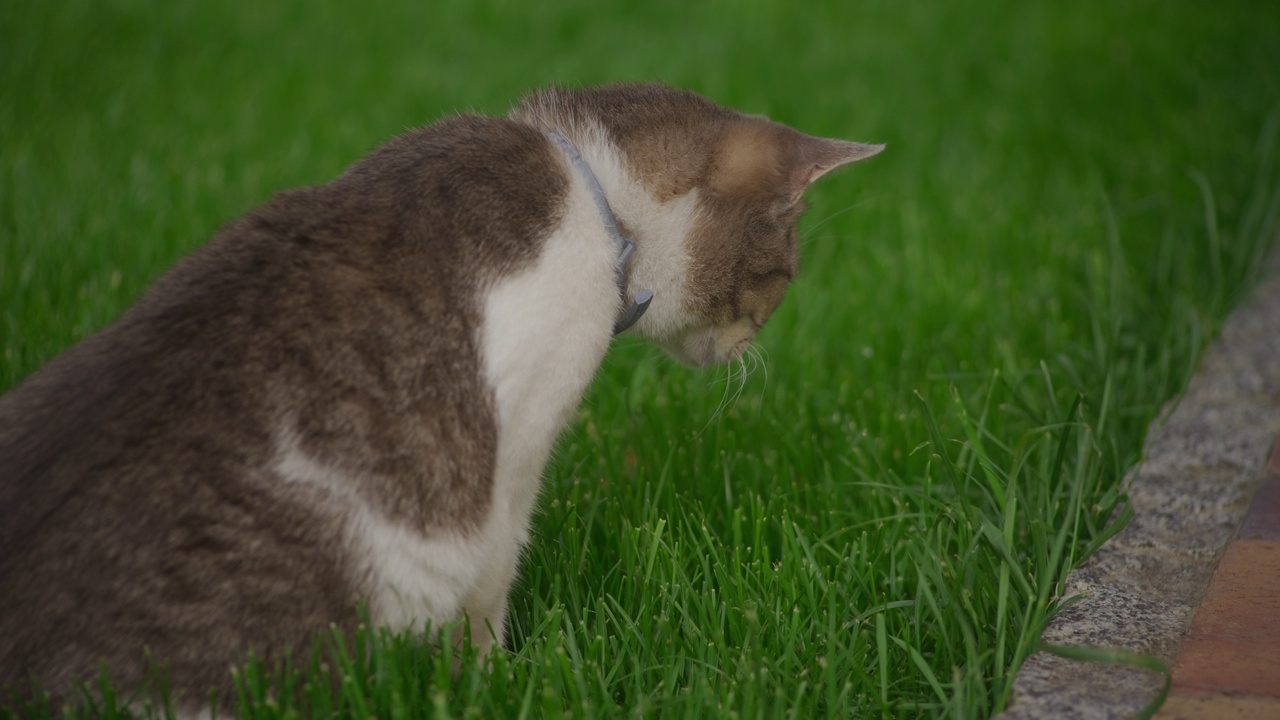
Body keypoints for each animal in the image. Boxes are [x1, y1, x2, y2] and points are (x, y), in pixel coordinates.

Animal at [0, 81, 880, 707]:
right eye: (781, 274)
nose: (749, 346)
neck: (591, 192)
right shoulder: (514, 453)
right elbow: (490, 588)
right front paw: (500, 681)